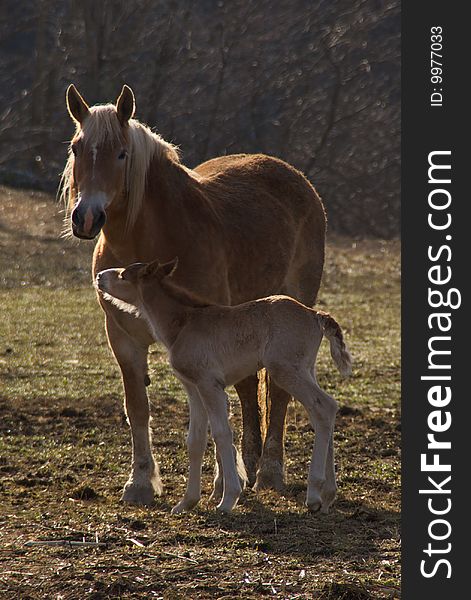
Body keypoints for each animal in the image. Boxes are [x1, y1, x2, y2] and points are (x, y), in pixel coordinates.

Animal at [96, 260, 352, 512]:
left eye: (124, 275)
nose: (100, 276)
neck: (183, 324)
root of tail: (315, 315)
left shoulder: (210, 384)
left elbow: (221, 433)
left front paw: (228, 499)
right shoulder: (193, 388)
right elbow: (195, 440)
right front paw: (187, 502)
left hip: (286, 370)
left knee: (323, 407)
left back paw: (314, 495)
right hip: (306, 370)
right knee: (324, 411)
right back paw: (328, 495)